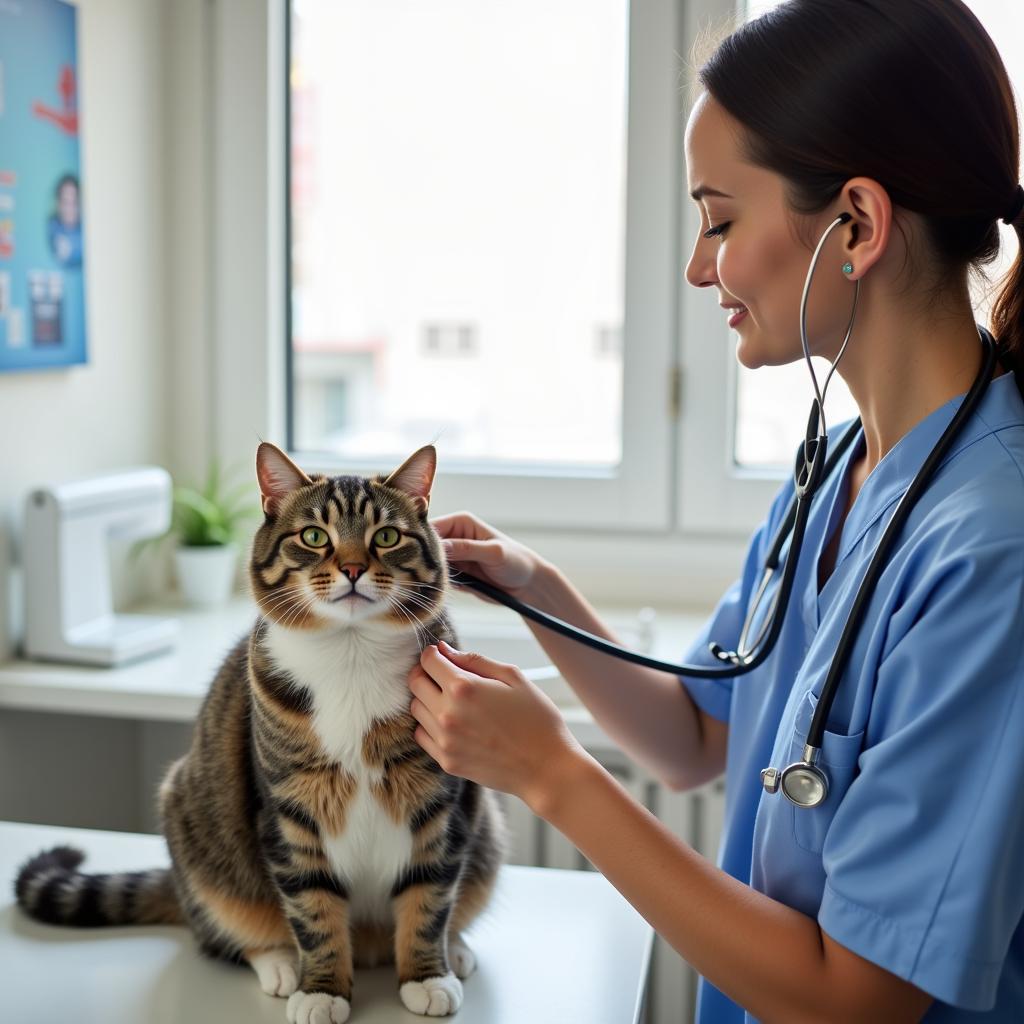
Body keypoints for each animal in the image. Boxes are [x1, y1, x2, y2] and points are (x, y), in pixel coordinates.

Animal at [14, 442, 509, 1024]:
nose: (353, 568)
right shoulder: (290, 808)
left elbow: (429, 897)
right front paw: (321, 989)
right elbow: (312, 908)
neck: (352, 653)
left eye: (386, 536)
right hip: (193, 821)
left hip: (487, 831)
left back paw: (456, 948)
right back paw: (278, 962)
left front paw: (427, 975)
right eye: (314, 536)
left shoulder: (439, 803)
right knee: (226, 931)